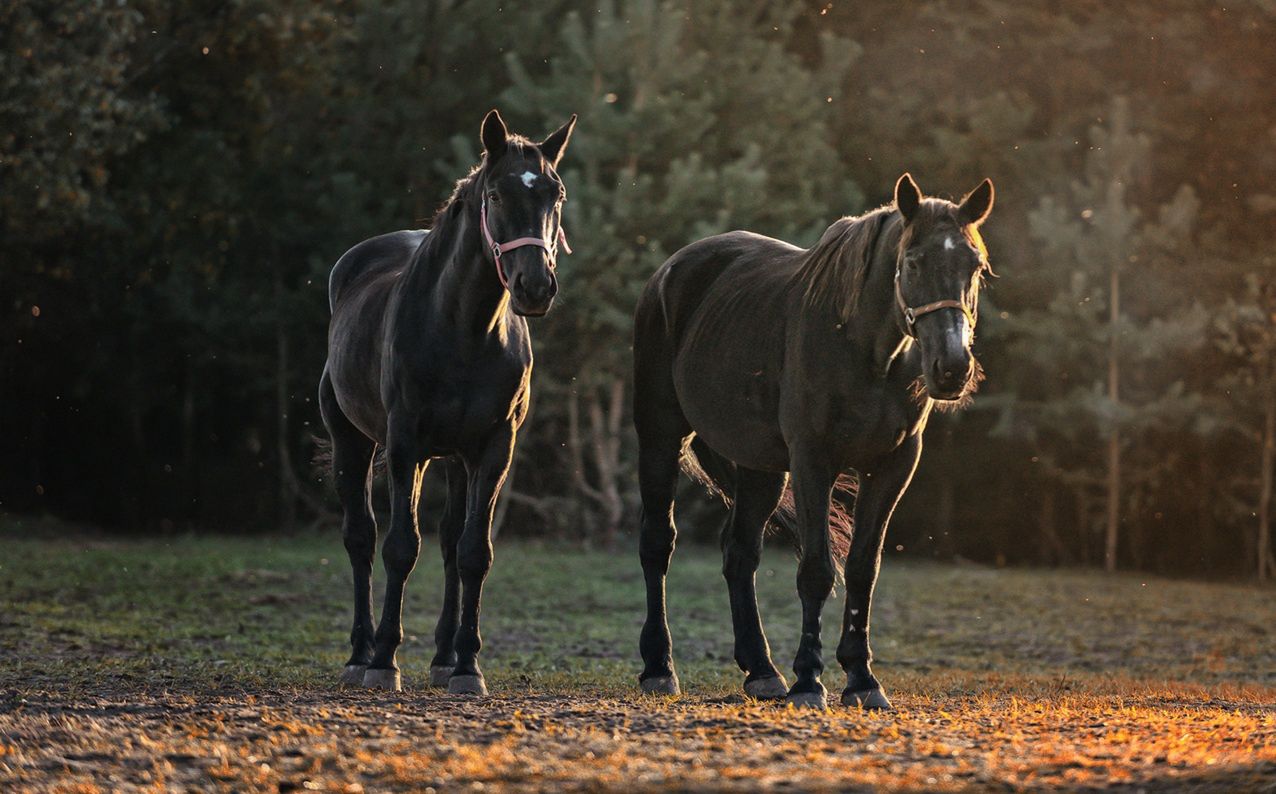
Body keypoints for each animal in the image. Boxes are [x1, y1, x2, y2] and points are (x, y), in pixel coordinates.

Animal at [319, 109, 579, 694]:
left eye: (555, 194)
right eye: (497, 195)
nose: (535, 288)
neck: (465, 330)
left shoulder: (493, 448)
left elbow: (472, 553)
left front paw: (466, 666)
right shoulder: (403, 445)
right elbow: (399, 547)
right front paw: (385, 661)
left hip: (456, 461)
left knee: (447, 545)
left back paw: (442, 658)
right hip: (354, 441)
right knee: (361, 539)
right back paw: (359, 654)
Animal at [632, 172, 990, 709]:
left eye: (975, 266)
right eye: (912, 262)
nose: (951, 368)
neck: (866, 351)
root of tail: (669, 271)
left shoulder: (892, 465)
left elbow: (863, 568)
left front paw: (862, 679)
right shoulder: (811, 461)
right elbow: (817, 570)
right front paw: (809, 680)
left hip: (760, 468)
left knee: (739, 553)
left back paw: (761, 671)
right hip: (659, 436)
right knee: (658, 542)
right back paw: (659, 668)